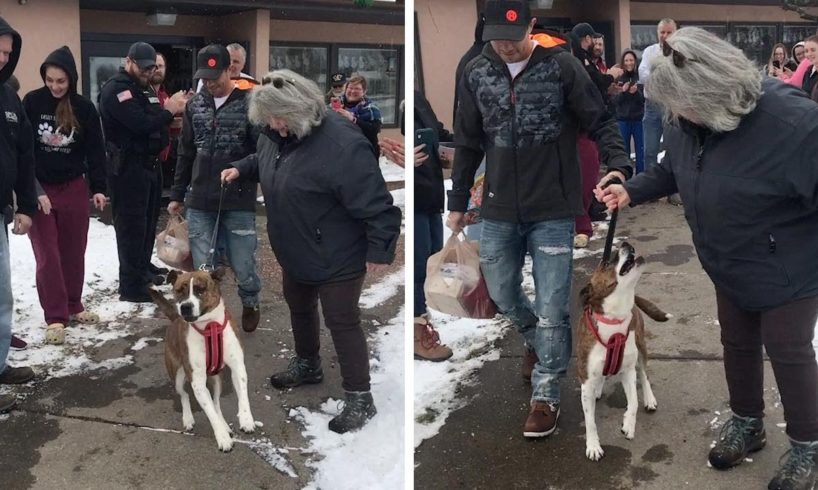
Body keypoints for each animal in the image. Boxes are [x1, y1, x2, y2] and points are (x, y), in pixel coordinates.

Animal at [148, 268, 253, 452]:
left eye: (200, 289)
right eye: (179, 290)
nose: (185, 307)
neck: (210, 326)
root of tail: (176, 319)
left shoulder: (238, 367)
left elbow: (242, 396)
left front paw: (246, 419)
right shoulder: (197, 381)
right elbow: (210, 413)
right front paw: (222, 437)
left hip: (217, 378)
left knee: (216, 402)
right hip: (178, 375)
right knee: (184, 395)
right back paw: (188, 418)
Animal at [576, 243, 668, 462]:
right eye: (606, 262)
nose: (627, 244)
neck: (614, 319)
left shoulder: (628, 371)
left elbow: (633, 402)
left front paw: (628, 425)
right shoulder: (586, 380)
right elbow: (590, 420)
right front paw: (593, 446)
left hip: (641, 347)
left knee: (644, 374)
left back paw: (649, 399)